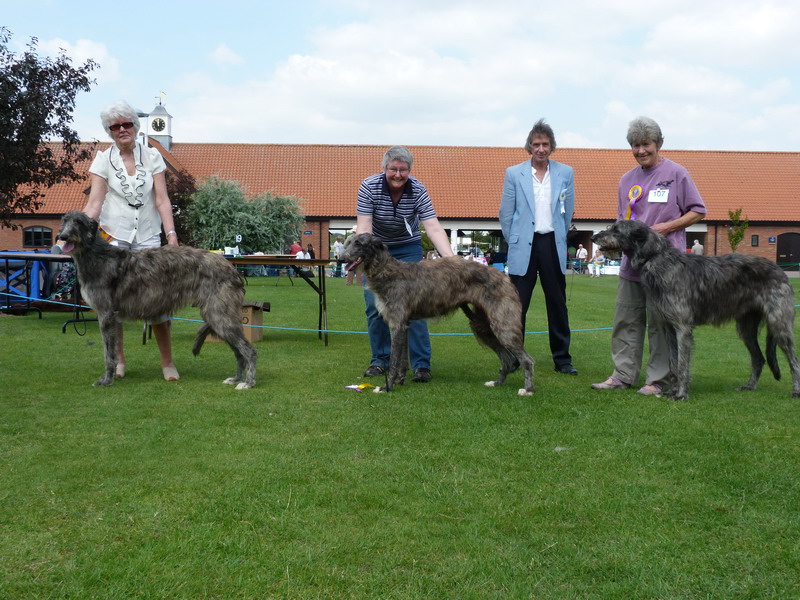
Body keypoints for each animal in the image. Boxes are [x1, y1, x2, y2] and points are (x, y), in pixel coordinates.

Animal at [56, 211, 256, 390]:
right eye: (64, 220)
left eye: (79, 222)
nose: (63, 236)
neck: (97, 256)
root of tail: (233, 271)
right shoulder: (109, 315)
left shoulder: (106, 315)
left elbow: (108, 352)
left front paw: (106, 380)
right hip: (218, 316)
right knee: (239, 351)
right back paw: (237, 379)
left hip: (219, 314)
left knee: (249, 350)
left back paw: (248, 382)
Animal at [340, 233, 536, 394]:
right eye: (348, 242)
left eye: (358, 243)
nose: (340, 258)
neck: (386, 270)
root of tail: (504, 276)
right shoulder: (404, 324)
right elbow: (402, 360)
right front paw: (399, 382)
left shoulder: (397, 324)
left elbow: (394, 360)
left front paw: (387, 387)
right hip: (483, 326)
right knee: (507, 358)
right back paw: (497, 383)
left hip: (503, 325)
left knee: (527, 359)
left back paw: (528, 390)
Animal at [592, 218, 800, 400]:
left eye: (617, 230)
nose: (594, 237)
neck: (658, 259)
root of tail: (780, 270)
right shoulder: (669, 327)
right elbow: (673, 363)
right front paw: (672, 391)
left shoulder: (683, 328)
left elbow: (683, 364)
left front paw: (681, 394)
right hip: (746, 328)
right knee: (759, 358)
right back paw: (749, 386)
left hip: (779, 324)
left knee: (794, 360)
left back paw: (796, 391)